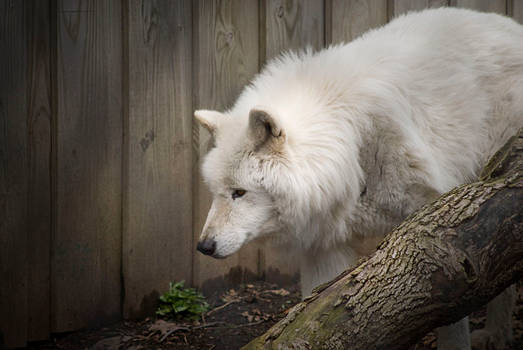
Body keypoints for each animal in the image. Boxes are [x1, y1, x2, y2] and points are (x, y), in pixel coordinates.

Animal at [194, 6, 520, 350]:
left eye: (239, 192)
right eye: (216, 192)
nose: (203, 246)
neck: (350, 152)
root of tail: (508, 24)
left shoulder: (433, 235)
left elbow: (454, 323)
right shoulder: (326, 250)